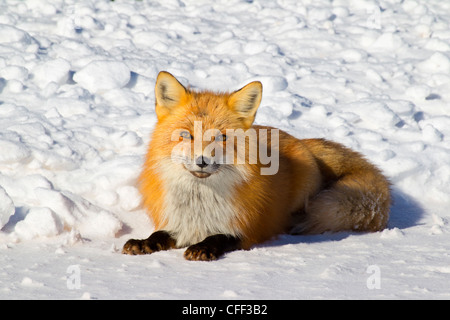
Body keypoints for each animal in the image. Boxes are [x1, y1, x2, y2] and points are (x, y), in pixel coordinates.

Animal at [123, 70, 390, 260]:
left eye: (221, 137)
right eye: (186, 135)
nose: (202, 161)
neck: (199, 204)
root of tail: (298, 139)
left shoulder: (245, 230)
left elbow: (220, 238)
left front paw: (204, 248)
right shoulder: (176, 223)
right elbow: (158, 234)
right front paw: (142, 242)